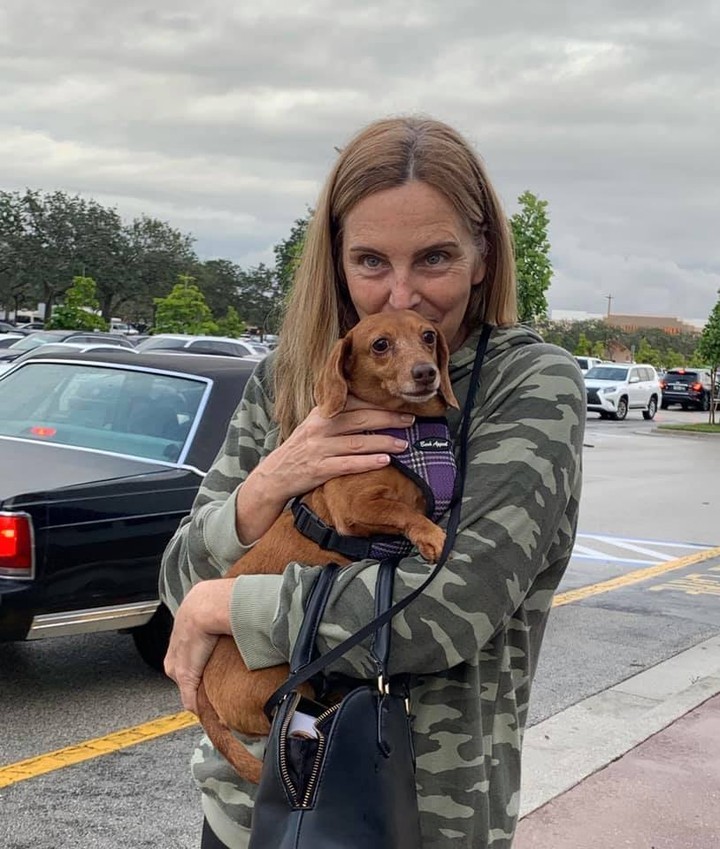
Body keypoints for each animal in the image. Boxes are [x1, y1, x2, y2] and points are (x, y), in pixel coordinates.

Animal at [194, 308, 458, 780]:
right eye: (380, 344)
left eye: (428, 336)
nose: (426, 373)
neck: (407, 431)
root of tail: (203, 688)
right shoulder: (355, 507)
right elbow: (407, 513)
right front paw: (432, 536)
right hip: (276, 682)